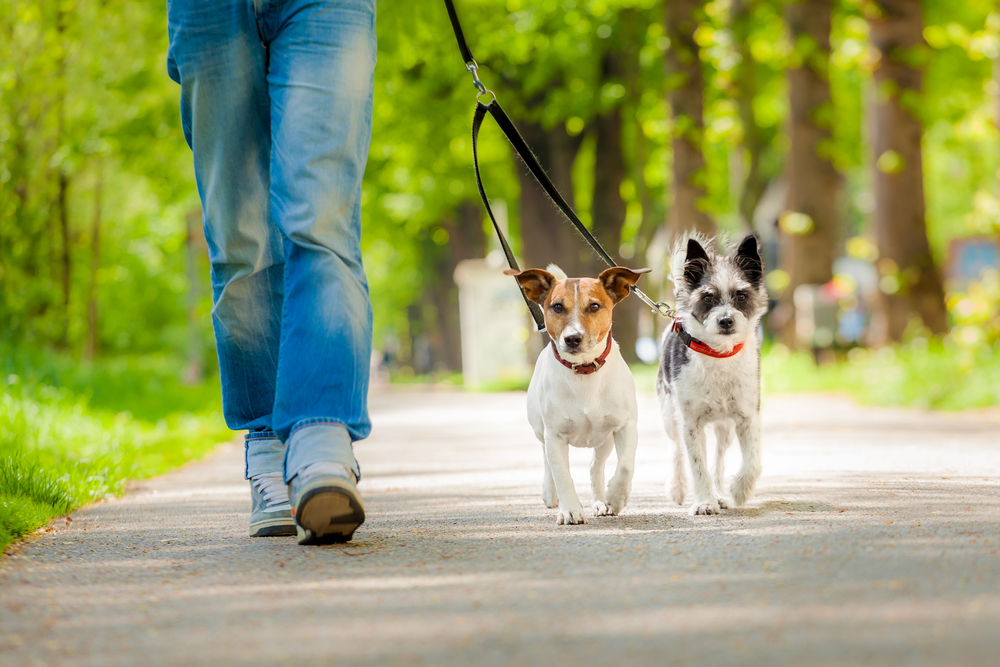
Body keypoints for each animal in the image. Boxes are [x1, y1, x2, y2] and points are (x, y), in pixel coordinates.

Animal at [504, 264, 652, 524]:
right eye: (557, 307)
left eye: (594, 306)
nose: (572, 338)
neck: (584, 371)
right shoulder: (554, 436)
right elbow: (562, 475)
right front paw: (570, 510)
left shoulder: (625, 426)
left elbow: (625, 466)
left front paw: (616, 497)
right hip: (541, 431)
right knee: (547, 461)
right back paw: (550, 494)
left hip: (604, 440)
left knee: (595, 466)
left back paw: (600, 502)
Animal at [652, 235, 768, 516]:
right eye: (707, 297)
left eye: (741, 295)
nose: (725, 321)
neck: (718, 354)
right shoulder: (690, 423)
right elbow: (697, 464)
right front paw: (704, 502)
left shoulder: (748, 417)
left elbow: (753, 462)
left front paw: (739, 491)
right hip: (669, 415)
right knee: (676, 450)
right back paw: (678, 488)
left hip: (724, 428)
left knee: (718, 457)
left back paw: (720, 493)